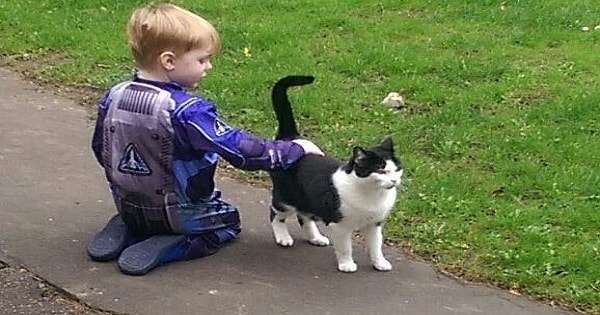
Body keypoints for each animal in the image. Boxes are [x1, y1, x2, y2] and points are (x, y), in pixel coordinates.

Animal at [268, 75, 404, 272]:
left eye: (396, 169)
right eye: (381, 170)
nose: (394, 181)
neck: (373, 195)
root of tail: (290, 136)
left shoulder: (375, 225)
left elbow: (376, 246)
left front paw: (380, 263)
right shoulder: (340, 226)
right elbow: (345, 247)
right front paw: (347, 265)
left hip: (308, 200)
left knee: (304, 217)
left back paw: (315, 238)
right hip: (286, 198)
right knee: (276, 215)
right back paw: (283, 238)